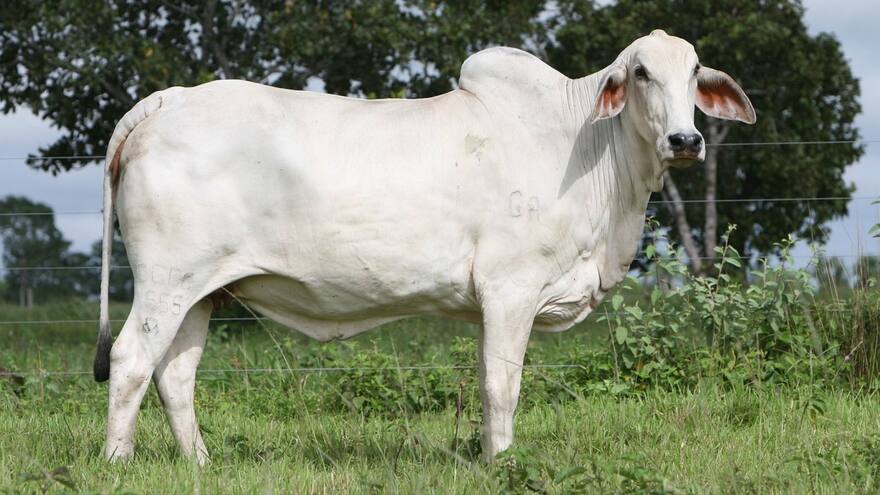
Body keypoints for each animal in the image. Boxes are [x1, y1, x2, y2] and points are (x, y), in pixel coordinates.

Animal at [94, 29, 754, 464]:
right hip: (165, 282)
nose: (685, 139)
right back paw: (117, 462)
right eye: (641, 73)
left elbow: (488, 382)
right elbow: (502, 387)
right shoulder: (511, 290)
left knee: (175, 375)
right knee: (130, 361)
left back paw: (201, 464)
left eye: (695, 71)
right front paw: (502, 465)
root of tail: (170, 99)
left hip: (201, 292)